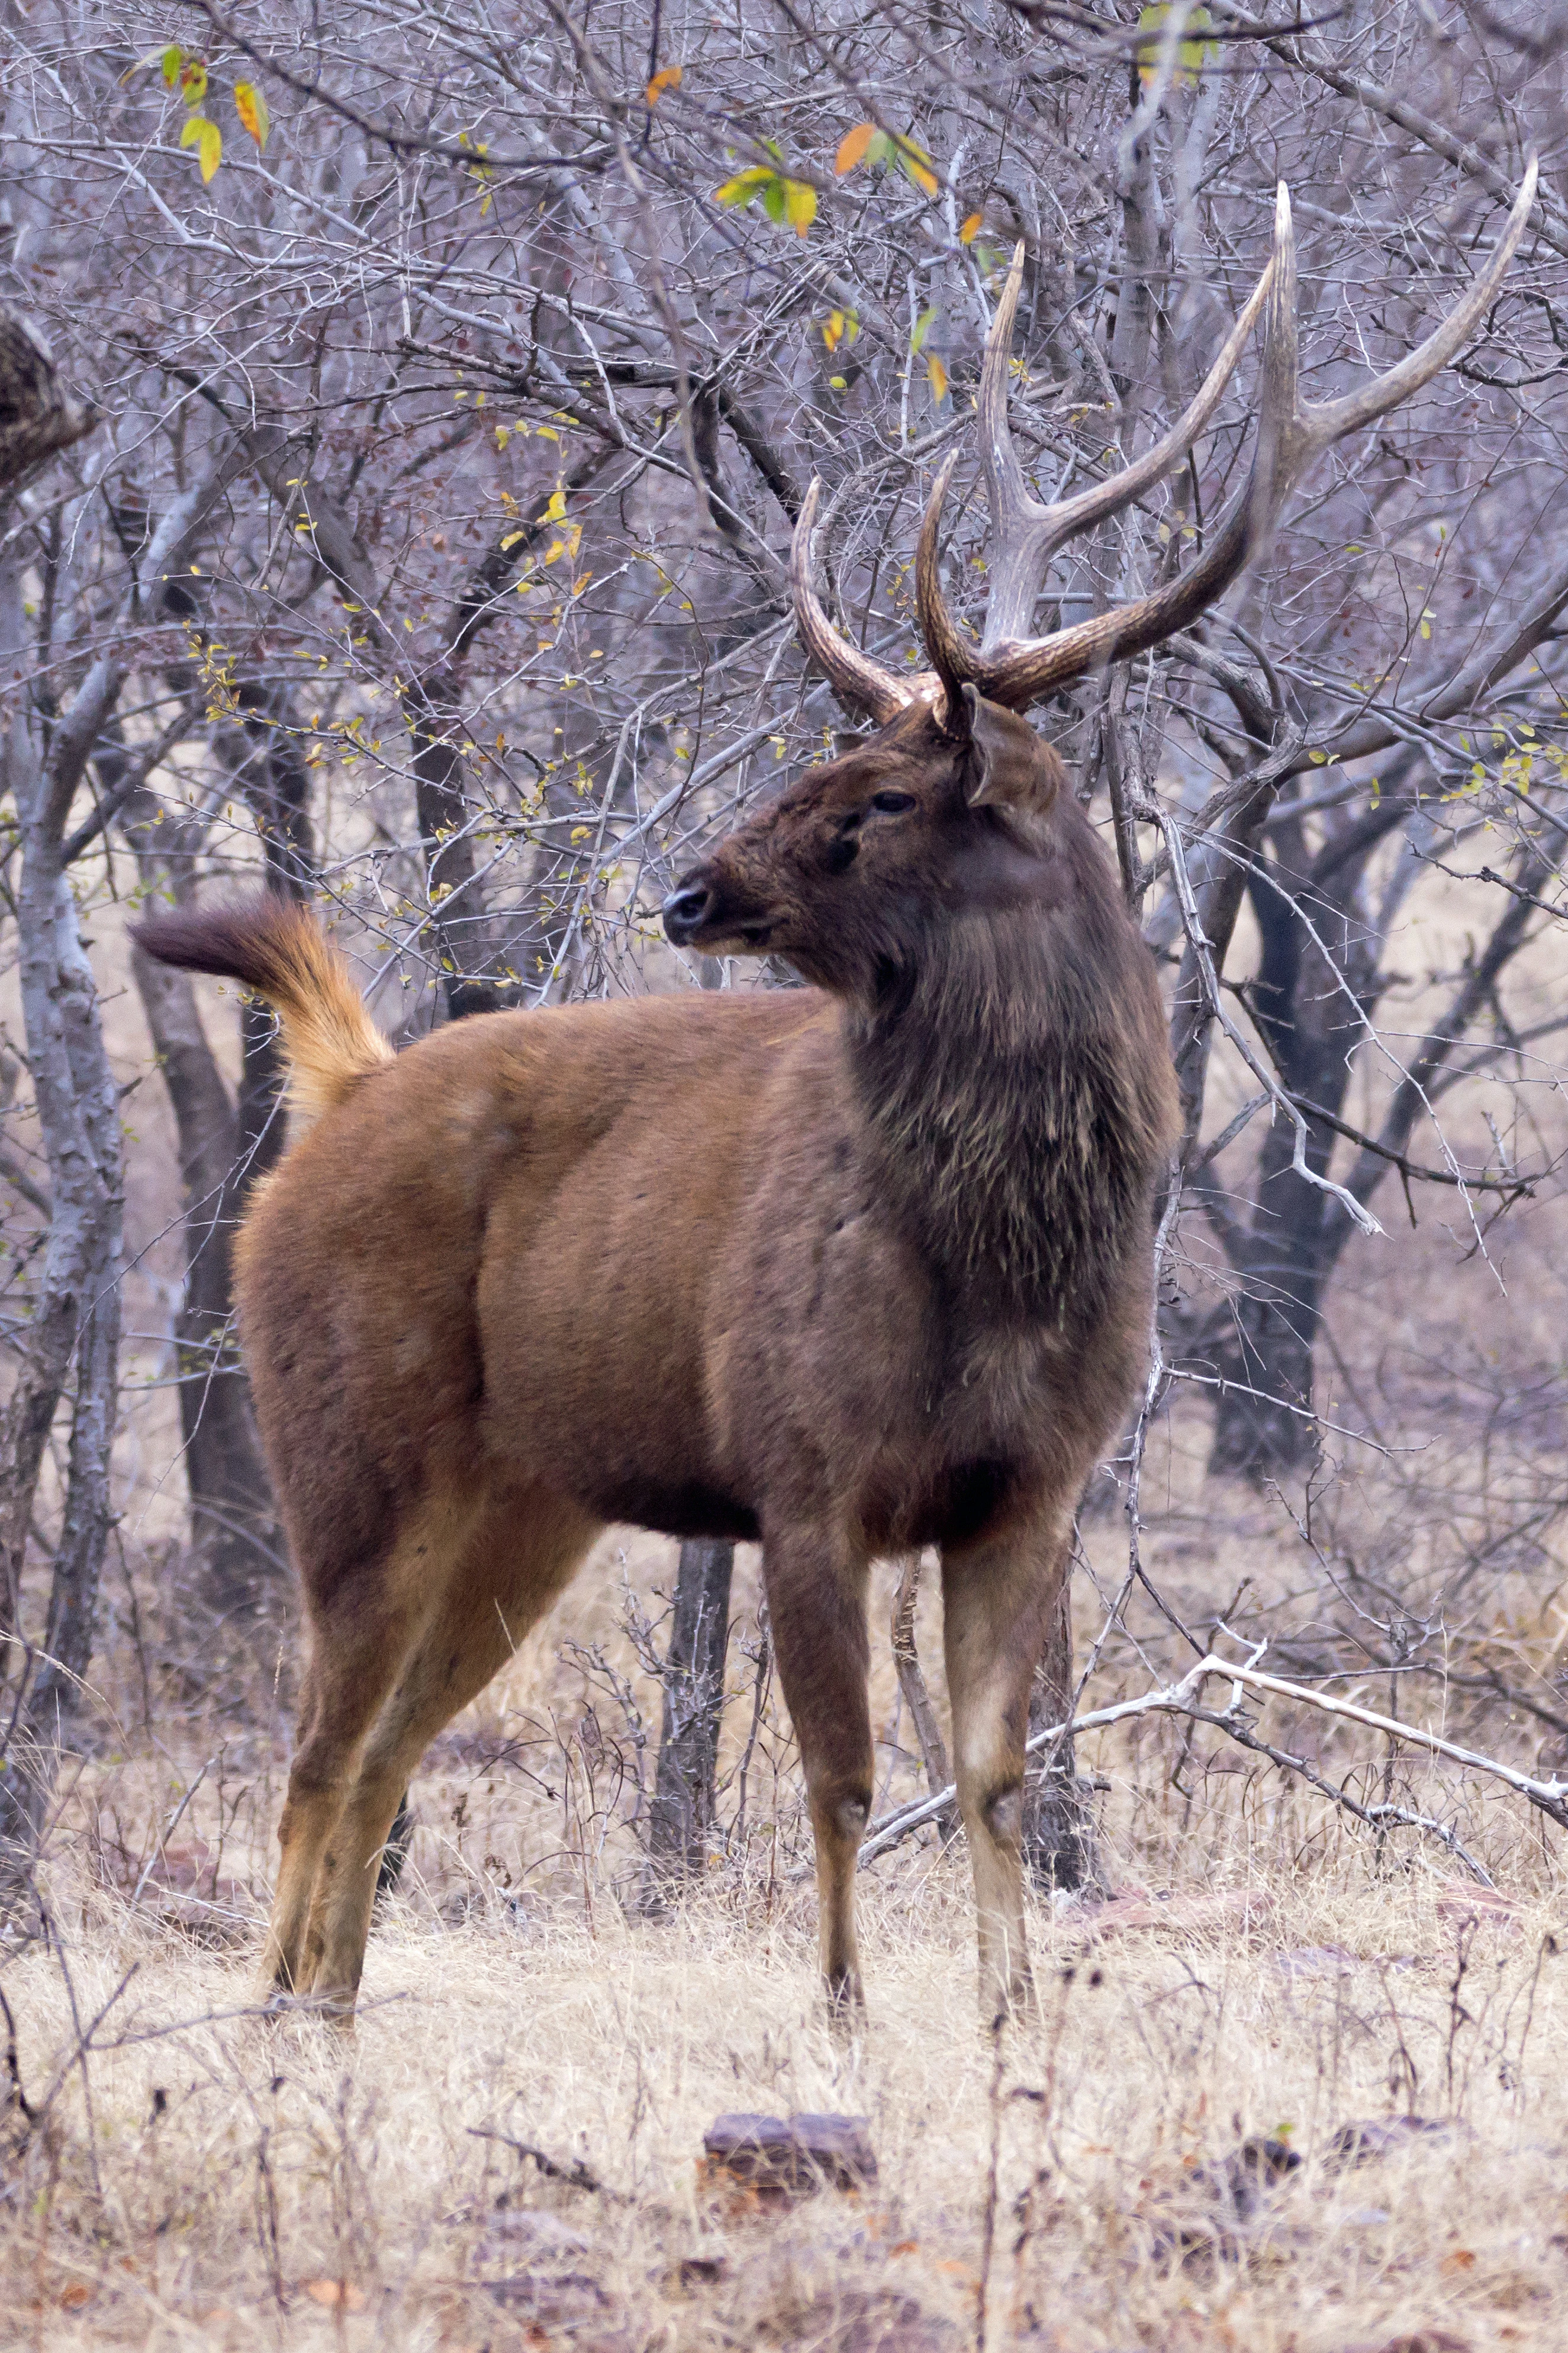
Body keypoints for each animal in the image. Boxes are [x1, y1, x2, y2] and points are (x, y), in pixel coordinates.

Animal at [134, 165, 1534, 2029]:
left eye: (876, 796)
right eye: (823, 759)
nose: (685, 892)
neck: (1002, 1265)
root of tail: (341, 1088)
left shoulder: (1029, 1485)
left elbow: (998, 1773)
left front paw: (1014, 2014)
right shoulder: (804, 1468)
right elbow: (845, 1775)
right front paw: (850, 2011)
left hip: (530, 1498)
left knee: (376, 1758)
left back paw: (336, 2004)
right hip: (349, 1448)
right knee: (306, 1753)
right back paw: (279, 2010)